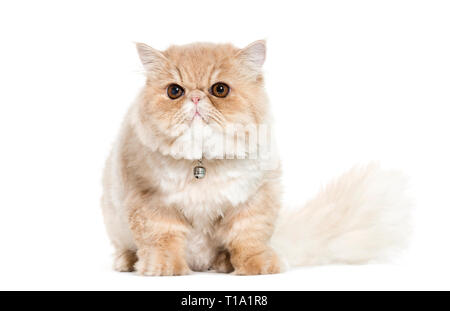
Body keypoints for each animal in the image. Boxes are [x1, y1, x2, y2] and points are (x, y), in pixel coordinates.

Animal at [103, 40, 412, 276]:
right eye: (174, 91)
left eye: (219, 90)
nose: (195, 98)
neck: (202, 164)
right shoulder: (150, 201)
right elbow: (163, 240)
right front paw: (164, 268)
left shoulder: (254, 199)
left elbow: (249, 238)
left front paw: (258, 266)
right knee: (126, 247)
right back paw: (128, 262)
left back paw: (223, 264)